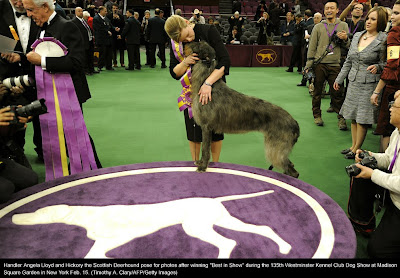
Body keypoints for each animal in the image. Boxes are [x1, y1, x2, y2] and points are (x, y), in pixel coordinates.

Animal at [188, 40, 300, 178]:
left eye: (198, 43)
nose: (186, 43)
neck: (207, 84)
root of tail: (294, 123)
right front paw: (200, 163)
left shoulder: (206, 127)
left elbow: (205, 149)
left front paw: (203, 166)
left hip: (276, 148)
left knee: (291, 169)